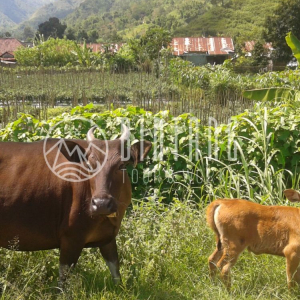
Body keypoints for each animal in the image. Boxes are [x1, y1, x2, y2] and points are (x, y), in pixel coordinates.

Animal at [0, 124, 151, 286]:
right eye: (89, 165)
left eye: (121, 165)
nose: (101, 204)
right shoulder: (71, 238)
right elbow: (63, 283)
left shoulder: (108, 238)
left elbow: (116, 272)